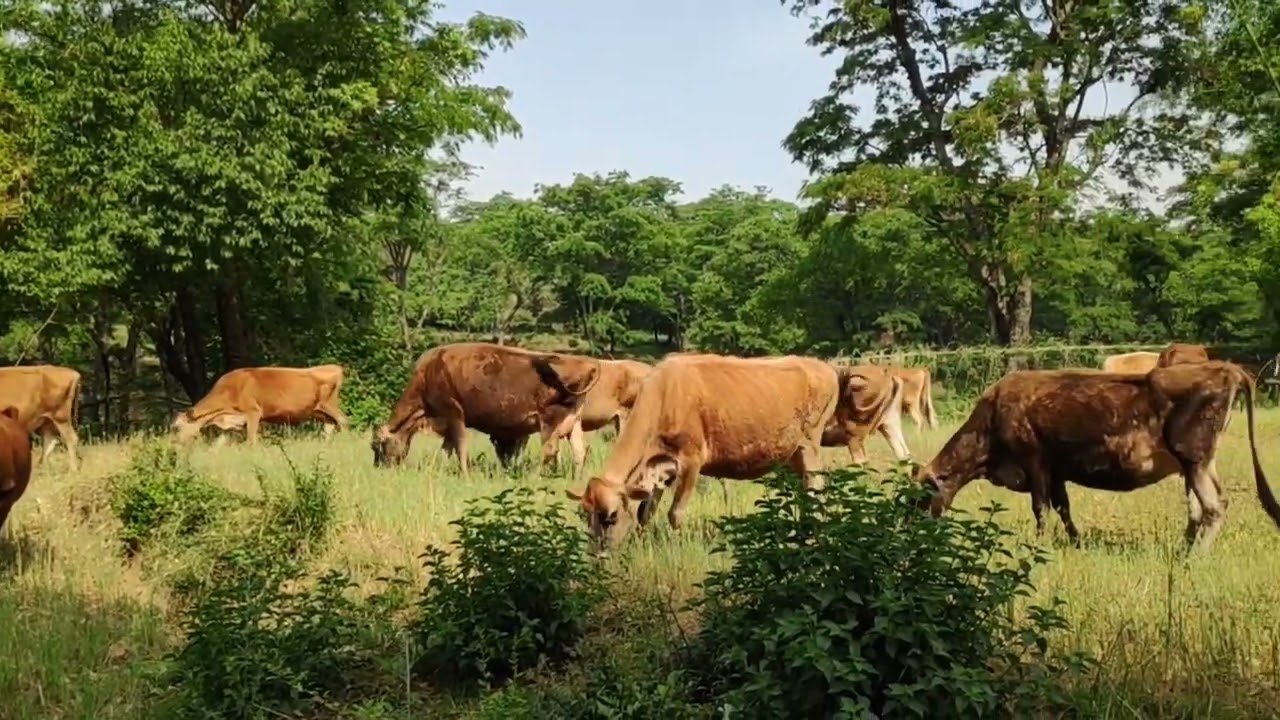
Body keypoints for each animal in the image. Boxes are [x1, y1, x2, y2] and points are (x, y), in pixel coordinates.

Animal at [171, 365, 350, 445]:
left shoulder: (253, 413)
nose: (174, 442)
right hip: (319, 411)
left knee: (343, 420)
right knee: (329, 425)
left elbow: (251, 440)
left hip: (329, 405)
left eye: (177, 427)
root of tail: (334, 367)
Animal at [370, 342, 602, 476]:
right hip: (573, 424)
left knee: (549, 451)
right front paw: (436, 469)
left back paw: (533, 476)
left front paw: (465, 474)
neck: (427, 374)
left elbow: (459, 446)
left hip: (549, 423)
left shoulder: (453, 414)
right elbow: (447, 448)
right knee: (579, 452)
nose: (379, 468)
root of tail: (587, 363)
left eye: (377, 446)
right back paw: (575, 479)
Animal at [564, 353, 840, 553]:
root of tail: (823, 367)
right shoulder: (658, 467)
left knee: (817, 490)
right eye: (585, 514)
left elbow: (675, 513)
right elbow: (645, 512)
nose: (597, 554)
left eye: (610, 516)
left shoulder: (691, 461)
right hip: (795, 454)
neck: (664, 395)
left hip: (810, 446)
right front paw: (642, 544)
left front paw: (677, 548)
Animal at [914, 361, 1280, 552]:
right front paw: (1075, 542)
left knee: (1214, 507)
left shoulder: (1034, 460)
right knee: (1203, 507)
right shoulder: (1056, 471)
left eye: (917, 498)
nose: (913, 531)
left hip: (1192, 456)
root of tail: (1224, 368)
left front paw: (1039, 544)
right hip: (1201, 463)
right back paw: (1186, 548)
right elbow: (1063, 507)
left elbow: (1041, 509)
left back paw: (1196, 557)